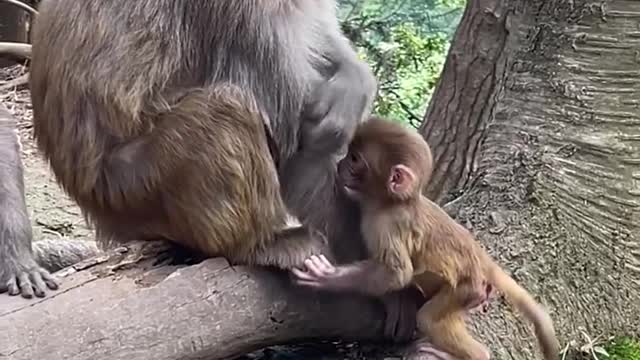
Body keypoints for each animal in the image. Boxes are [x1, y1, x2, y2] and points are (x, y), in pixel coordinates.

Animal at [25, 0, 424, 340]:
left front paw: (353, 81)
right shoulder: (239, 10)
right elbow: (297, 143)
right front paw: (385, 282)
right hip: (132, 188)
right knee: (226, 110)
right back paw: (259, 243)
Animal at [292, 116, 556, 358]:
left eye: (355, 159)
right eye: (349, 154)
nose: (341, 164)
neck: (389, 202)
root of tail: (481, 258)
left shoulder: (389, 224)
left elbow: (397, 273)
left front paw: (327, 277)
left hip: (465, 289)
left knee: (429, 318)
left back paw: (474, 353)